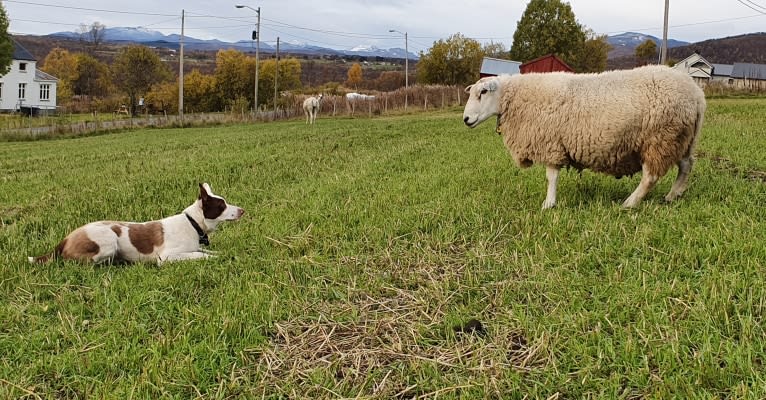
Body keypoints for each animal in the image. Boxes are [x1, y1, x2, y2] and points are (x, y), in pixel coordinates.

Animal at [28, 183, 244, 264]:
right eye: (222, 205)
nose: (243, 210)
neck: (192, 223)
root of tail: (66, 239)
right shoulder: (166, 257)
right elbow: (198, 255)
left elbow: (205, 251)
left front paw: (223, 254)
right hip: (108, 241)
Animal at [462, 65, 708, 209]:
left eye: (483, 92)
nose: (465, 119)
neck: (515, 100)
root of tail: (697, 95)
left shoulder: (551, 145)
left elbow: (551, 177)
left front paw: (548, 204)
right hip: (682, 138)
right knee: (686, 166)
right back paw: (673, 195)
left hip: (659, 138)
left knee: (651, 176)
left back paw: (630, 203)